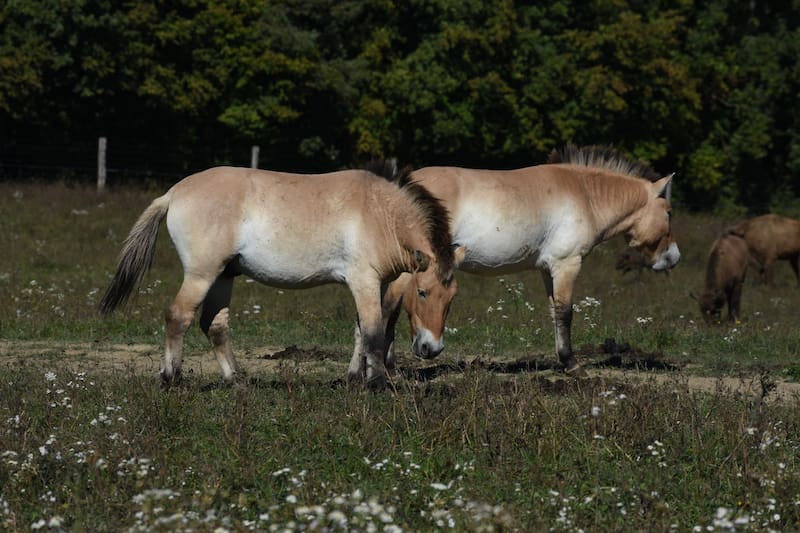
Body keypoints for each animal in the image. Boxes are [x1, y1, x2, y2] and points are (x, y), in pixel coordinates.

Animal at [99, 162, 459, 388]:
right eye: (422, 292)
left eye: (452, 298)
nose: (432, 349)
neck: (380, 213)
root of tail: (173, 193)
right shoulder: (363, 281)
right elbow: (372, 332)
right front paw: (379, 383)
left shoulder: (375, 284)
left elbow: (364, 331)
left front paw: (355, 380)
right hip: (202, 274)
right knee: (178, 317)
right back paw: (172, 379)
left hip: (223, 276)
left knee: (214, 325)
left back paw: (237, 381)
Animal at [360, 145, 680, 376]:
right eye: (669, 212)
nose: (674, 257)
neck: (585, 195)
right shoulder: (567, 264)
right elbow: (566, 313)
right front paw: (573, 365)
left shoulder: (548, 269)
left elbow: (555, 312)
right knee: (389, 307)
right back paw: (387, 369)